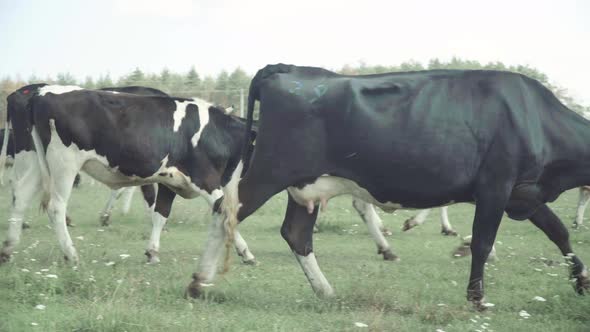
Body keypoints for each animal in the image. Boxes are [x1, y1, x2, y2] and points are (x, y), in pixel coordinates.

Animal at [191, 65, 590, 312]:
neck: (534, 117)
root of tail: (290, 69)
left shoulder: (525, 193)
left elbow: (559, 233)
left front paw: (582, 280)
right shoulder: (496, 186)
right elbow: (482, 242)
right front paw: (477, 298)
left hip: (304, 186)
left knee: (296, 234)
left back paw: (326, 291)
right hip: (270, 171)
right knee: (225, 211)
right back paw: (199, 282)